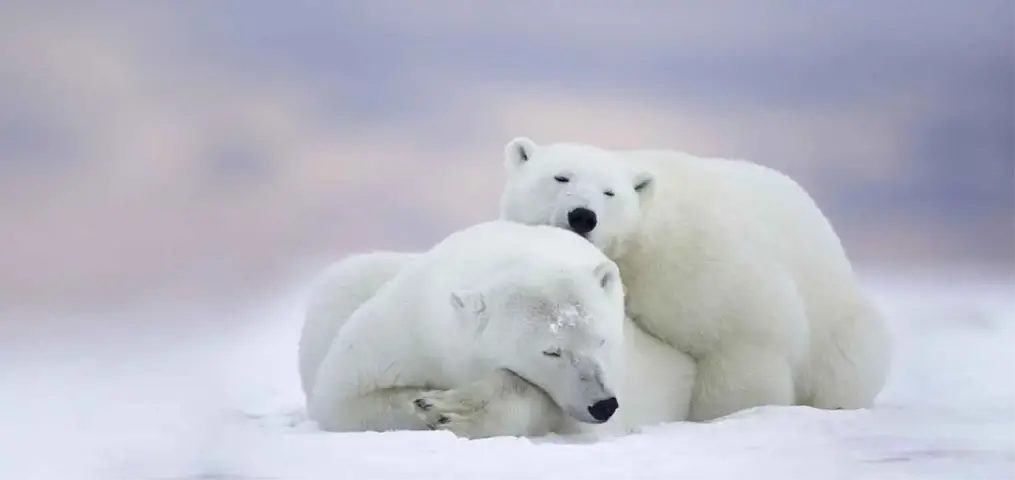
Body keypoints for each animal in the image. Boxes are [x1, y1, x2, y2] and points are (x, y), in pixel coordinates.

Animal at [300, 220, 696, 438]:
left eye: (602, 339)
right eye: (551, 351)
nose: (603, 404)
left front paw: (453, 409)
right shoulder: (407, 327)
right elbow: (346, 396)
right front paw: (429, 404)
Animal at [497, 137, 892, 422]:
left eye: (610, 192)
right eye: (560, 177)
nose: (582, 216)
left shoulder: (701, 267)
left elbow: (744, 343)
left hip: (839, 328)